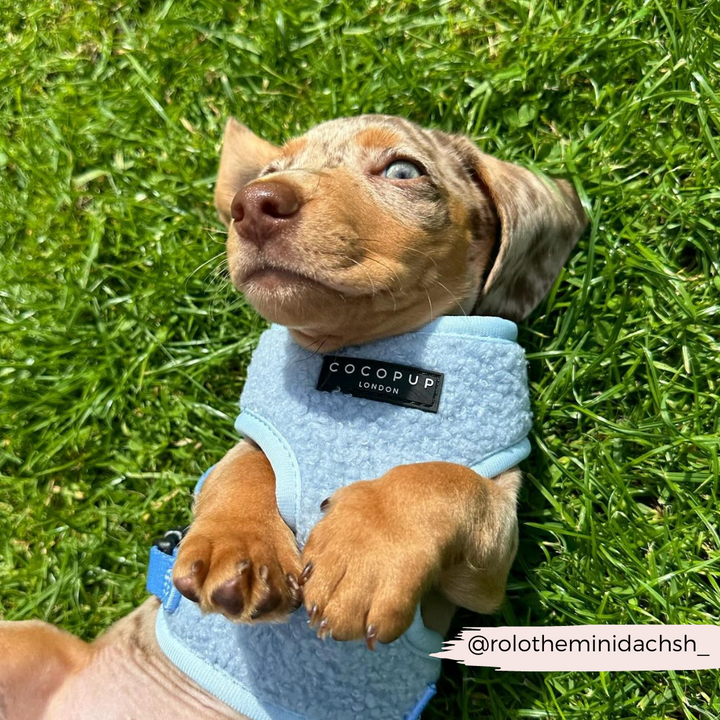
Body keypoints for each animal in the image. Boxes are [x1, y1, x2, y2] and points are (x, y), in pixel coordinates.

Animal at [0, 115, 584, 716]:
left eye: (403, 171)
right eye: (269, 172)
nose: (253, 202)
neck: (362, 362)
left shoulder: (489, 560)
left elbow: (443, 478)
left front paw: (367, 552)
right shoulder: (257, 438)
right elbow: (243, 467)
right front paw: (238, 544)